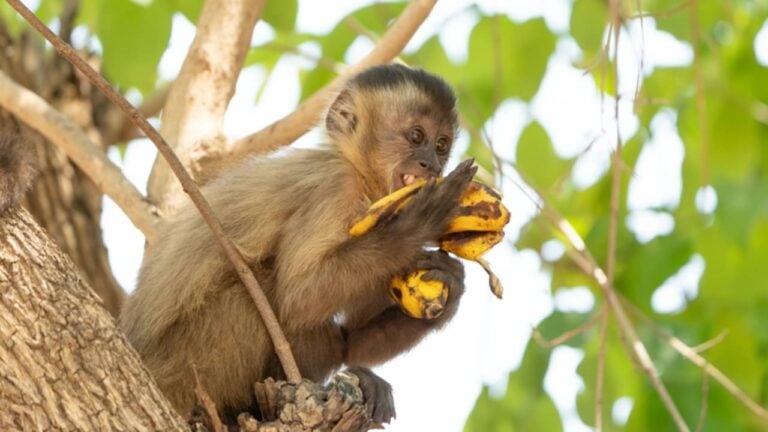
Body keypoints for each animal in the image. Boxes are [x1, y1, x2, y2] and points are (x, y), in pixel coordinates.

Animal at [119, 64, 476, 424]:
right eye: (416, 136)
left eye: (441, 144)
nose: (431, 164)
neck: (361, 176)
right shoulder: (335, 187)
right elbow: (300, 299)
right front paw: (419, 222)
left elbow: (351, 344)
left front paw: (451, 280)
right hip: (182, 371)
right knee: (259, 290)